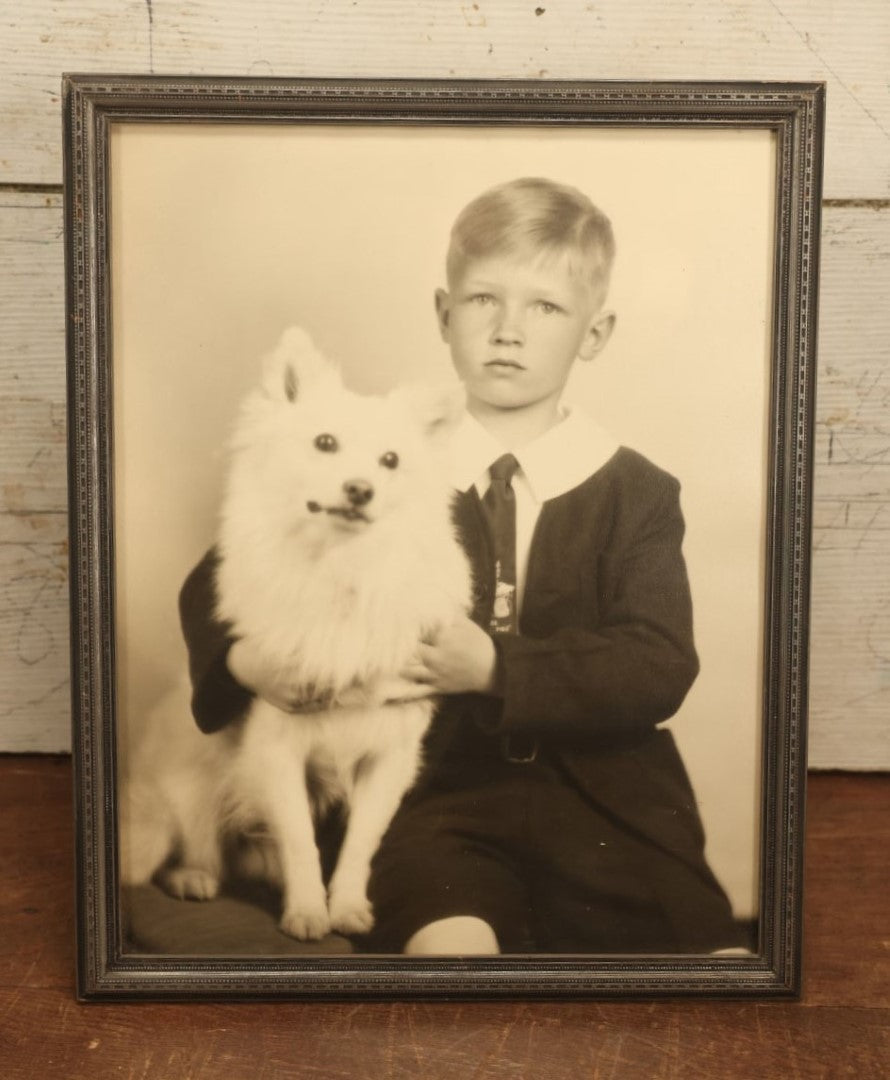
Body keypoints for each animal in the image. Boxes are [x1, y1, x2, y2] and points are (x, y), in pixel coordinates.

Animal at [123, 326, 479, 937]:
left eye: (391, 461)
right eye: (325, 443)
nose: (360, 489)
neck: (341, 568)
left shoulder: (389, 759)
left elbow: (360, 843)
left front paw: (347, 906)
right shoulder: (277, 753)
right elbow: (299, 842)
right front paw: (309, 911)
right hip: (191, 782)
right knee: (187, 849)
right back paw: (193, 877)